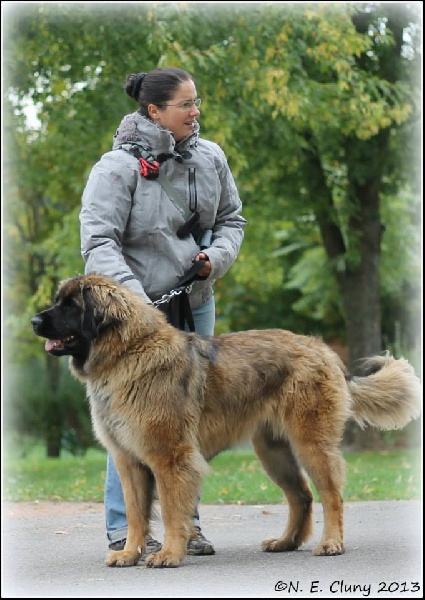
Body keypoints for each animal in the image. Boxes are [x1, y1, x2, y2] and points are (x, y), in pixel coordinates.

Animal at [31, 273, 422, 568]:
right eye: (58, 301)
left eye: (71, 306)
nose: (34, 321)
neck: (128, 353)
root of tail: (323, 349)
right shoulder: (129, 462)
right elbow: (135, 513)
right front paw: (129, 553)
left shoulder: (170, 458)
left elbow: (171, 511)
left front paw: (169, 554)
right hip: (273, 452)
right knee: (302, 495)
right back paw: (285, 542)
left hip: (311, 443)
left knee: (331, 494)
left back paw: (331, 543)